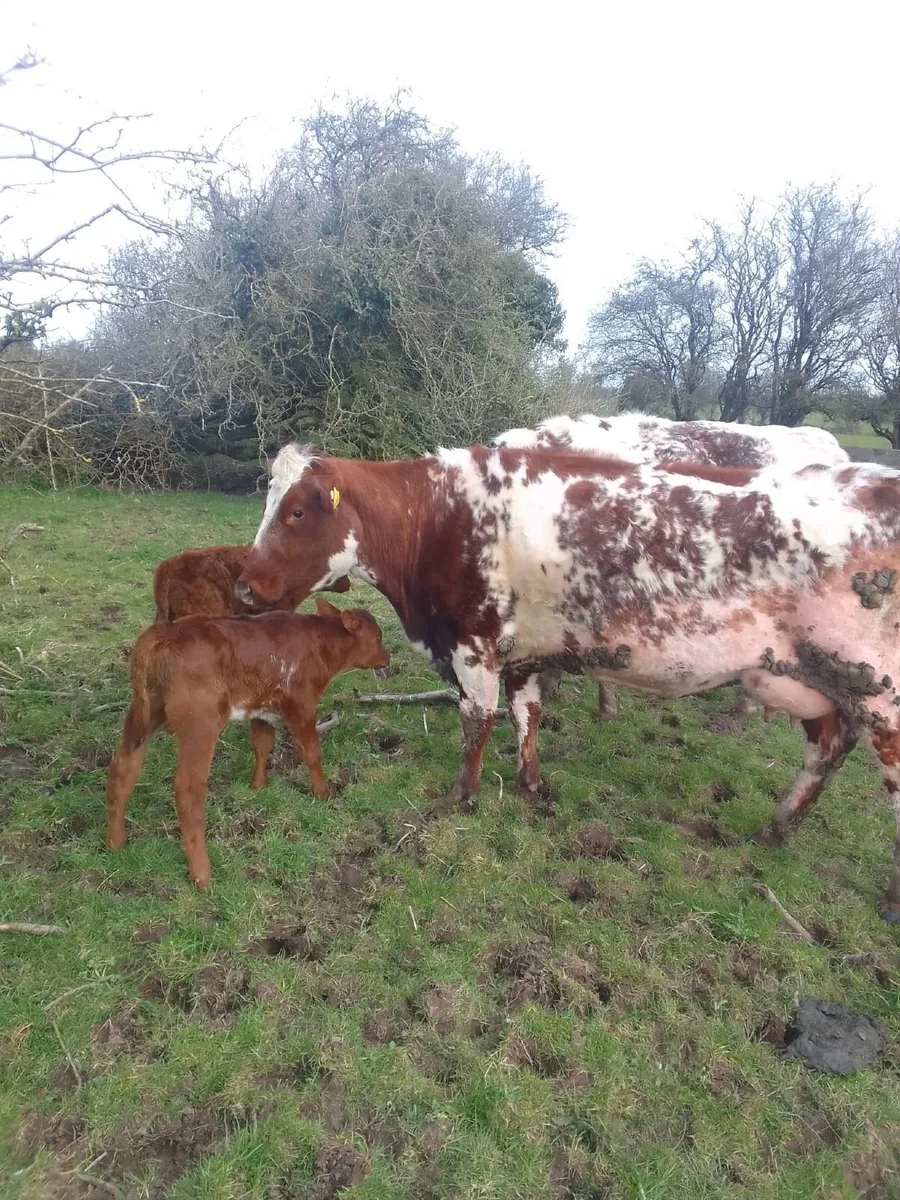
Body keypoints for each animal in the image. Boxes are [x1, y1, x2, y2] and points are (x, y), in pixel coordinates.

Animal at [106, 598, 390, 889]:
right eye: (377, 637)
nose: (387, 658)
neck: (318, 645)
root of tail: (162, 634)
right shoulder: (302, 705)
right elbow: (311, 751)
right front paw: (323, 793)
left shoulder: (261, 709)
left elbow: (262, 743)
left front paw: (258, 785)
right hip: (199, 725)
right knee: (188, 791)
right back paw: (202, 875)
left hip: (143, 714)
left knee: (123, 770)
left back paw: (115, 842)